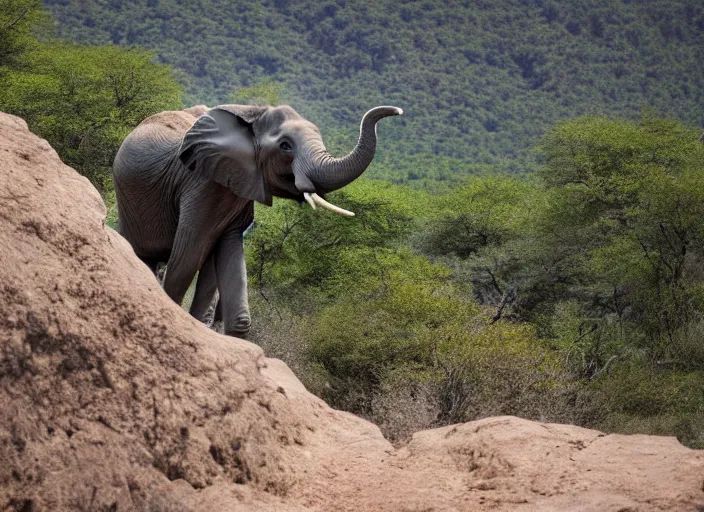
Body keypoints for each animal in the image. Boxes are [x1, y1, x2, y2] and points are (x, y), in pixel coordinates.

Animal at [113, 102, 404, 338]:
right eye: (285, 146)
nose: (398, 111)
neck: (253, 114)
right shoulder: (203, 183)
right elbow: (188, 258)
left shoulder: (237, 190)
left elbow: (225, 254)